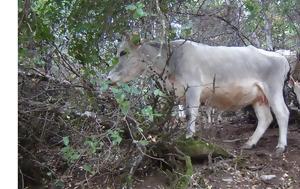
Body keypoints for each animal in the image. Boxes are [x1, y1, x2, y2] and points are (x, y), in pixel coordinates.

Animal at [108, 37, 290, 153]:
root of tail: (281, 57)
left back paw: (281, 146)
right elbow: (184, 115)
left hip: (273, 89)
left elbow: (191, 115)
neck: (171, 61)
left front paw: (189, 138)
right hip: (259, 96)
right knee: (265, 118)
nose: (108, 77)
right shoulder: (179, 94)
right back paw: (250, 143)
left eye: (122, 52)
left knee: (282, 113)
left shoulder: (193, 88)